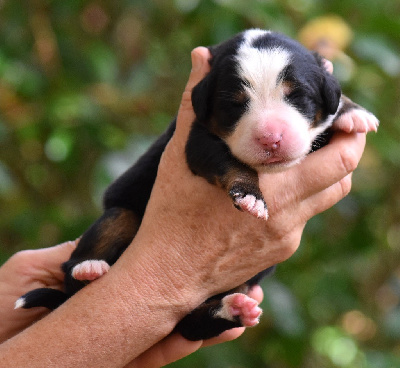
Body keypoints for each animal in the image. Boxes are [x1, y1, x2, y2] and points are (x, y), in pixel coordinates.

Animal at [15, 29, 378, 342]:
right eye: (235, 103)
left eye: (298, 96)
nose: (271, 138)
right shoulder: (197, 139)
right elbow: (232, 163)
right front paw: (250, 195)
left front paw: (353, 111)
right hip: (119, 215)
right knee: (80, 262)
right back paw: (89, 269)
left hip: (240, 285)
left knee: (191, 324)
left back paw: (232, 310)